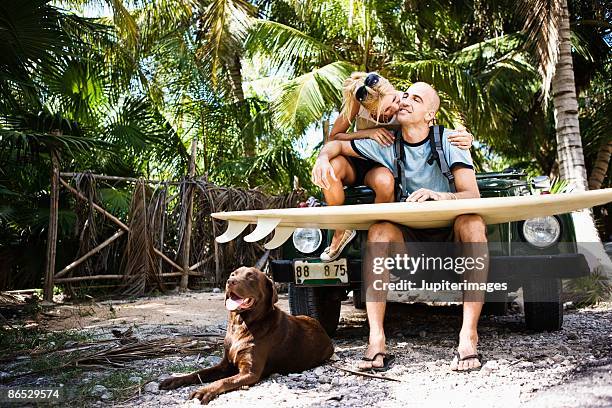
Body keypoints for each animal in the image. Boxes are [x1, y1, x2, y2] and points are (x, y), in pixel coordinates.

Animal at [155, 266, 332, 404]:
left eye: (251, 276)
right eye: (233, 274)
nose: (229, 281)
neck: (241, 325)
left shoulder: (249, 372)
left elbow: (224, 381)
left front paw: (205, 390)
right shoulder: (224, 365)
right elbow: (198, 373)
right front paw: (174, 380)